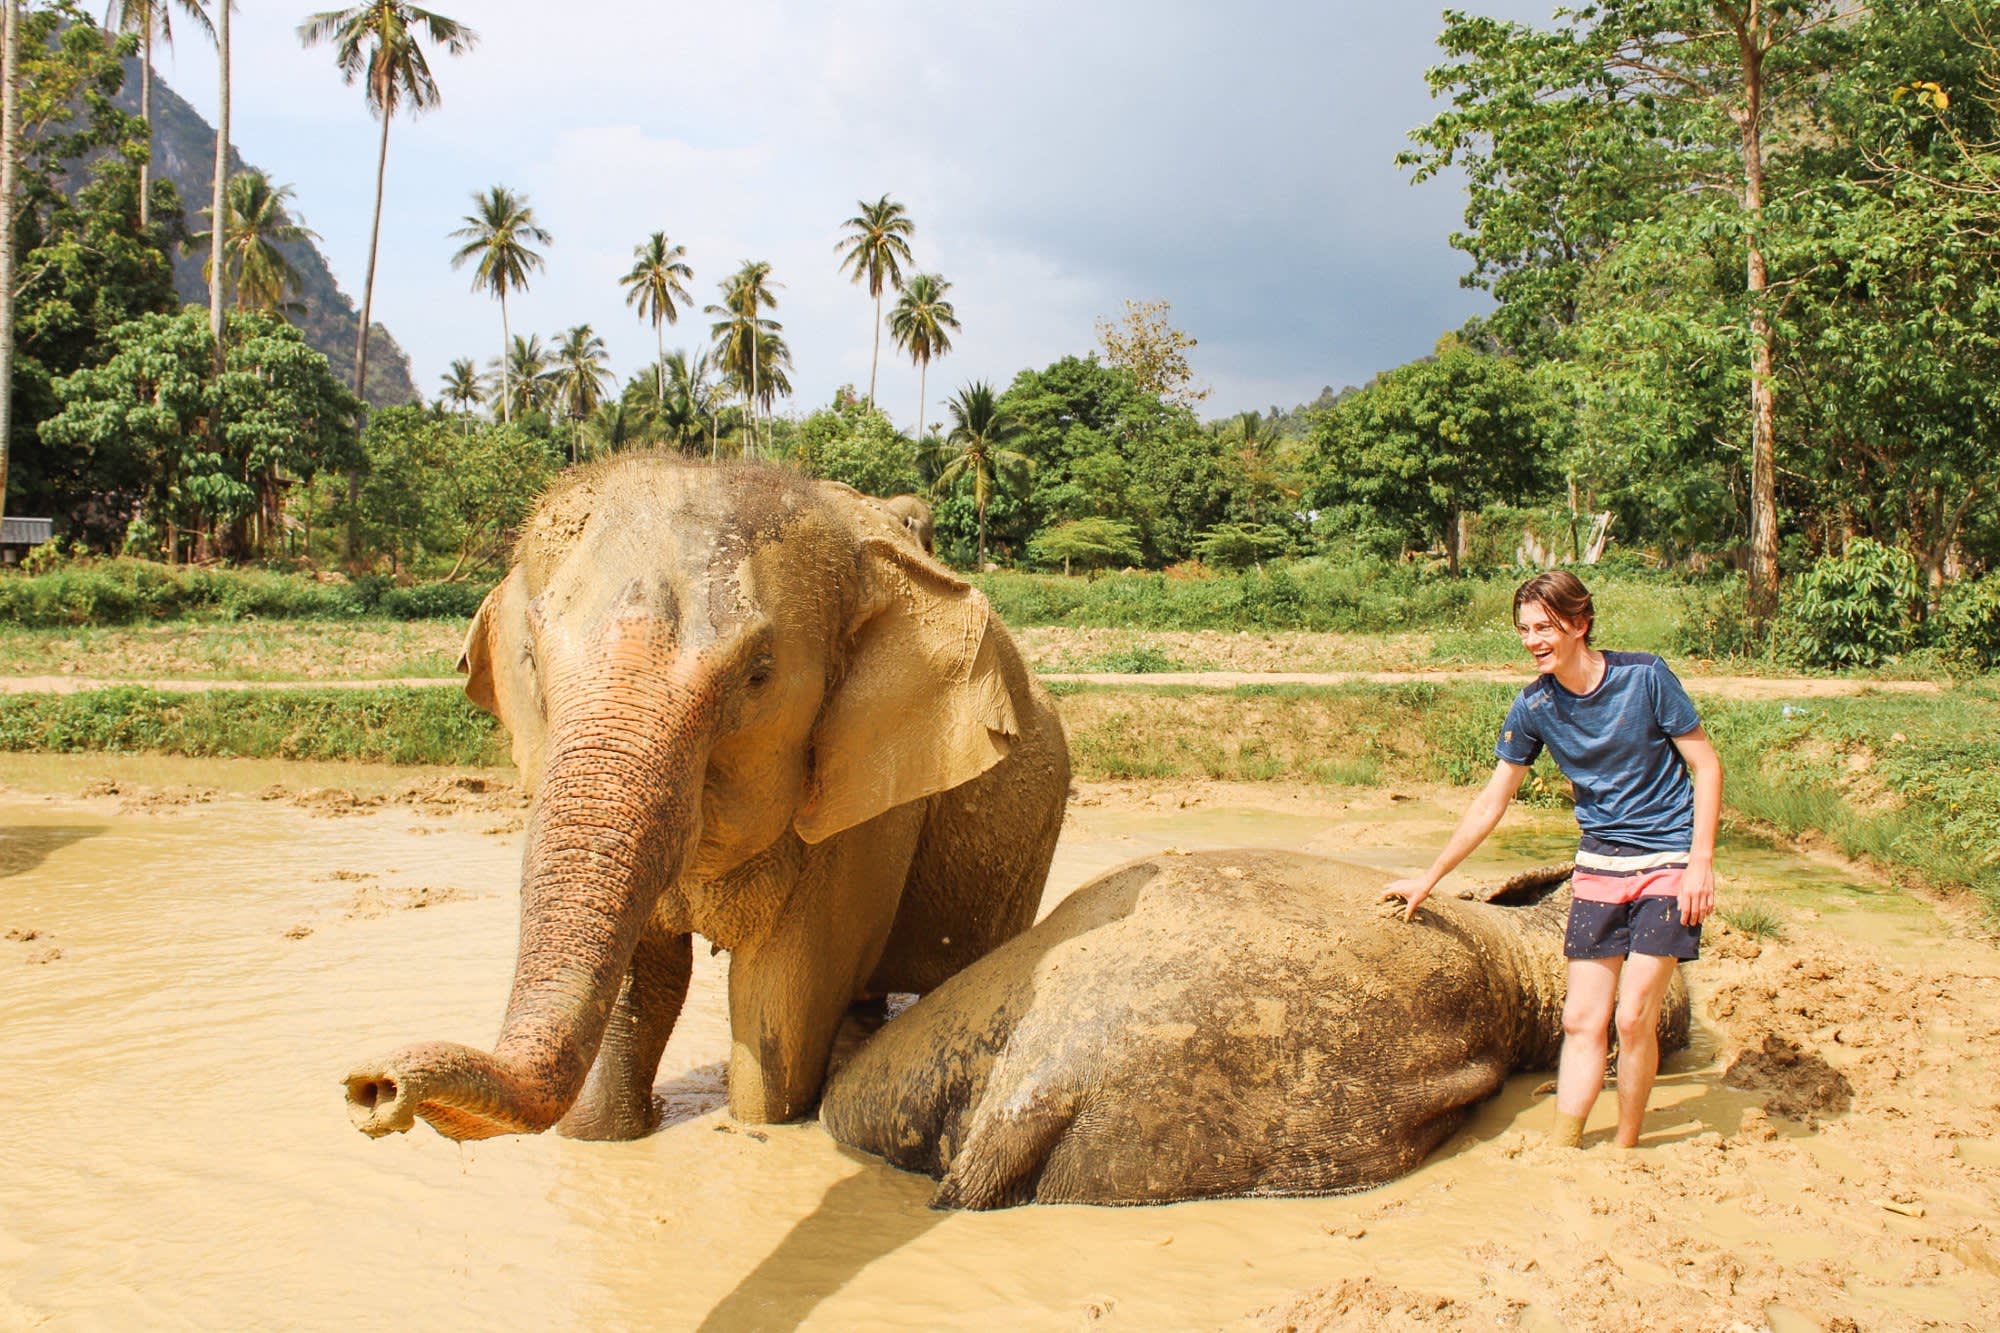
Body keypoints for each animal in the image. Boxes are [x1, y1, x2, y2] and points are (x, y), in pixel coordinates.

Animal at [342, 456, 1070, 1143]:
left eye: (758, 675)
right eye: (532, 660)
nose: (373, 1089)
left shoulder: (869, 810)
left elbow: (779, 999)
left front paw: (761, 1124)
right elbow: (641, 978)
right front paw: (603, 1136)